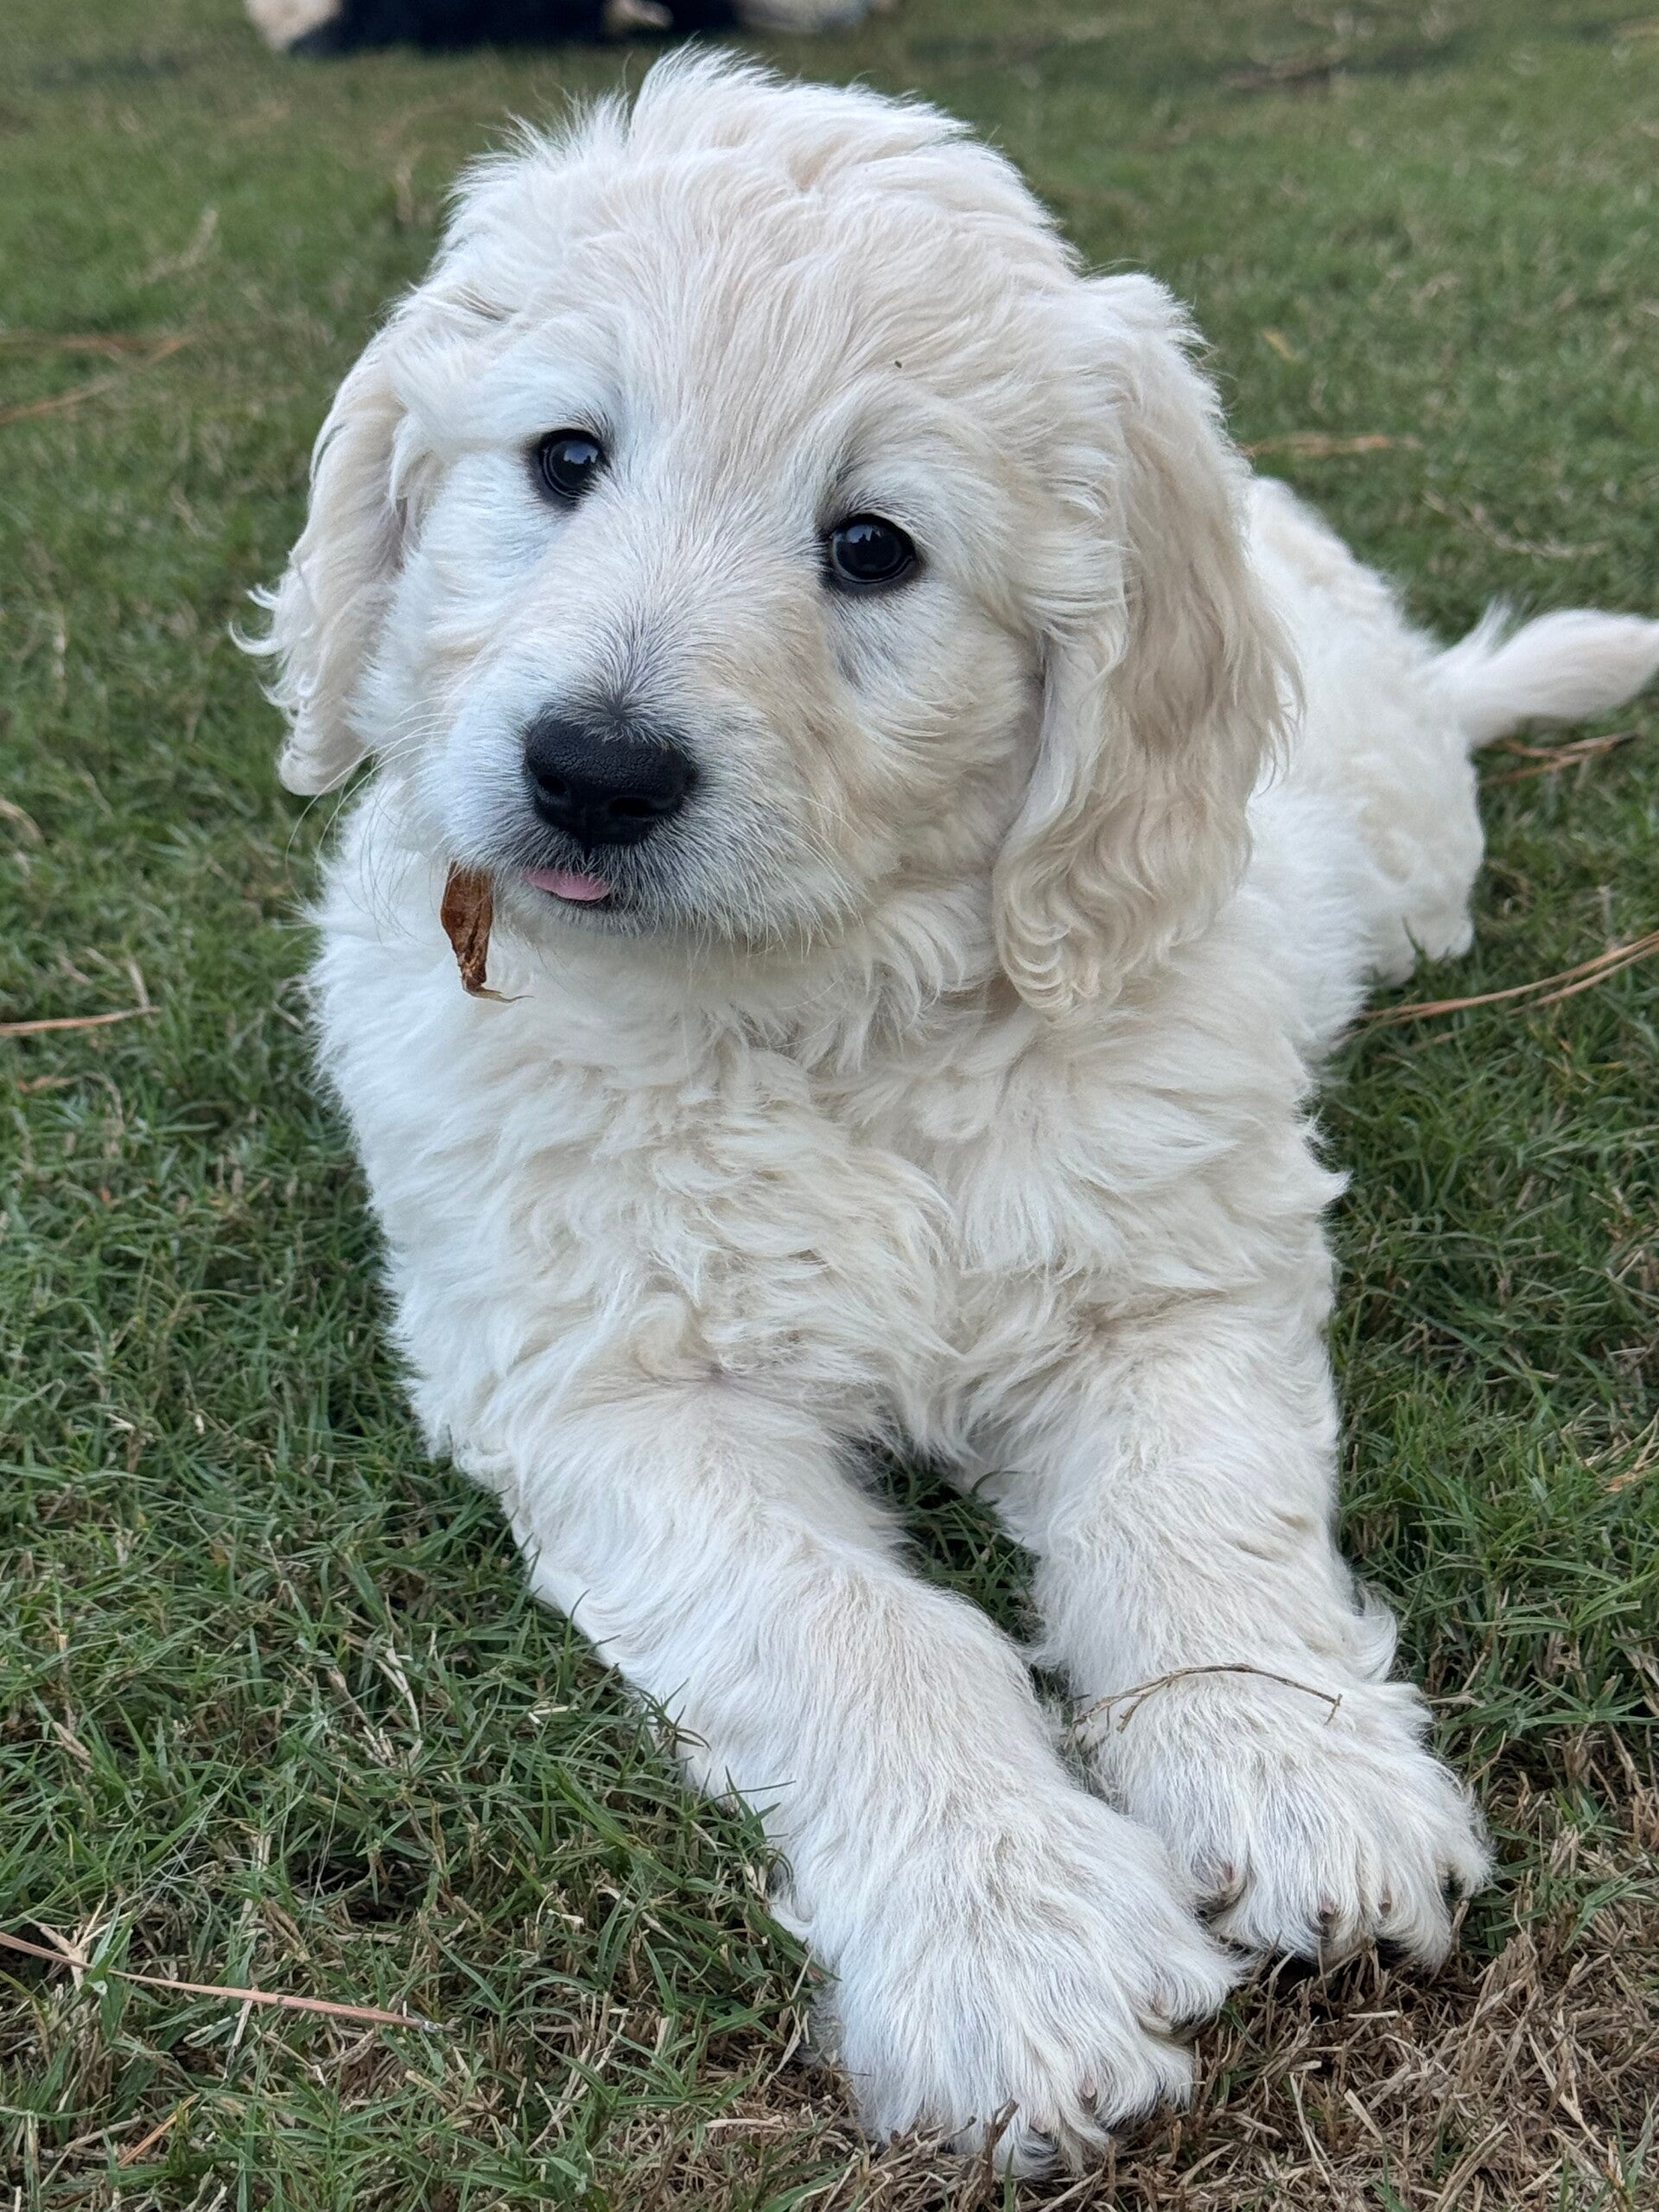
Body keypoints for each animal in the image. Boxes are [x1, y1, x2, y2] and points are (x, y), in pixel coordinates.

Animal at [248, 55, 1659, 2170]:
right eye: (566, 459)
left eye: (872, 548)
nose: (591, 769)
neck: (817, 1021)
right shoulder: (610, 1392)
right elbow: (859, 1632)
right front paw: (1015, 1952)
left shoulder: (1178, 1274)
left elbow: (1197, 1523)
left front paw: (1293, 1768)